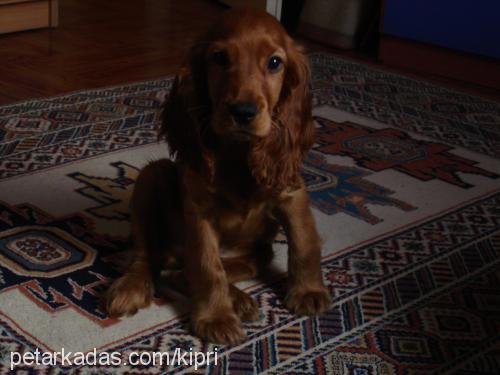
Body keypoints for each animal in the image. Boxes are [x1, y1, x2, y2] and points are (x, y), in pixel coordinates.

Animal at [105, 7, 330, 346]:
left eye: (275, 62)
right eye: (220, 58)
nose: (243, 112)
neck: (238, 152)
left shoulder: (290, 191)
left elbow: (304, 241)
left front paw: (309, 291)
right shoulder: (200, 210)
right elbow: (208, 267)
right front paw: (216, 318)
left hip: (256, 254)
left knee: (183, 273)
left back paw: (241, 300)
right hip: (152, 176)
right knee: (150, 257)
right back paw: (132, 288)